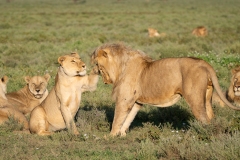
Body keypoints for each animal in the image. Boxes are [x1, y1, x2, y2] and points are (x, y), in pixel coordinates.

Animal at [91, 42, 240, 136]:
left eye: (97, 63)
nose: (93, 70)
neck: (119, 67)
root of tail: (204, 62)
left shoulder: (124, 99)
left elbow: (117, 119)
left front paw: (110, 136)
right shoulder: (137, 102)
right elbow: (128, 119)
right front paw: (121, 134)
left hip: (195, 99)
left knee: (204, 119)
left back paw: (205, 136)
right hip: (207, 97)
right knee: (211, 116)